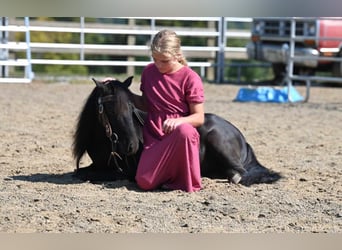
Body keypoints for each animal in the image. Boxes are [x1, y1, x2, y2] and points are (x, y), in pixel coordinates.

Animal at [72, 77, 280, 187]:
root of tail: (241, 137)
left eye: (131, 107)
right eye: (111, 109)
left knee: (241, 172)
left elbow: (88, 174)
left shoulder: (124, 171)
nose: (132, 145)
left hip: (218, 142)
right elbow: (80, 171)